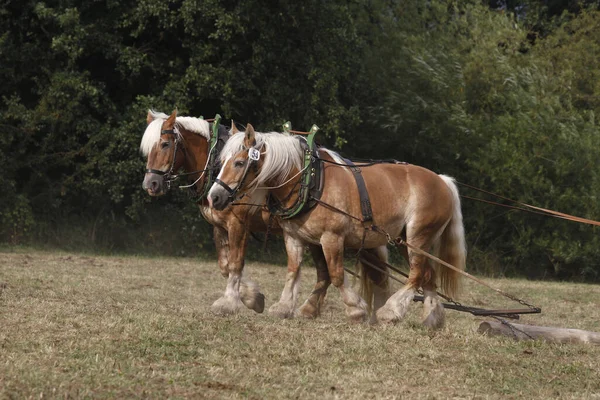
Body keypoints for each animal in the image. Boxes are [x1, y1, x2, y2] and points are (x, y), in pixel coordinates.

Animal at [142, 109, 338, 318]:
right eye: (147, 148)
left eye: (165, 144)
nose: (151, 184)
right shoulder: (219, 226)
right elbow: (225, 266)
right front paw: (253, 296)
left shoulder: (238, 225)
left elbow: (236, 263)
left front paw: (230, 302)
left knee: (324, 272)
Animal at [209, 126, 466, 330]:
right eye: (221, 162)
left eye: (239, 162)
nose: (215, 197)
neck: (308, 181)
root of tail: (443, 181)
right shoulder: (294, 237)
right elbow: (293, 271)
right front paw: (283, 306)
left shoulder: (331, 238)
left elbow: (336, 275)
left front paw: (356, 309)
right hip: (405, 240)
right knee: (427, 276)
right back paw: (432, 319)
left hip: (418, 236)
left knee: (416, 274)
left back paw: (390, 311)